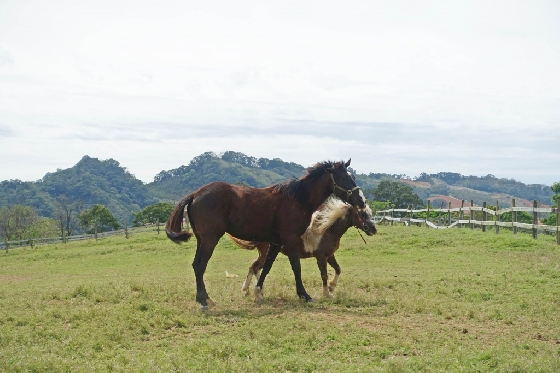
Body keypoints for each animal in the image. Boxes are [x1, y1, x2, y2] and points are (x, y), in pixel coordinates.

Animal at [226, 198, 376, 296]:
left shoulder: (329, 255)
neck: (326, 230)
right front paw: (327, 293)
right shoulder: (321, 257)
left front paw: (332, 287)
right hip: (266, 252)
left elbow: (338, 269)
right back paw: (251, 290)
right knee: (255, 267)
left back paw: (253, 290)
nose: (373, 230)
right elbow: (324, 274)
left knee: (254, 268)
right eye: (361, 213)